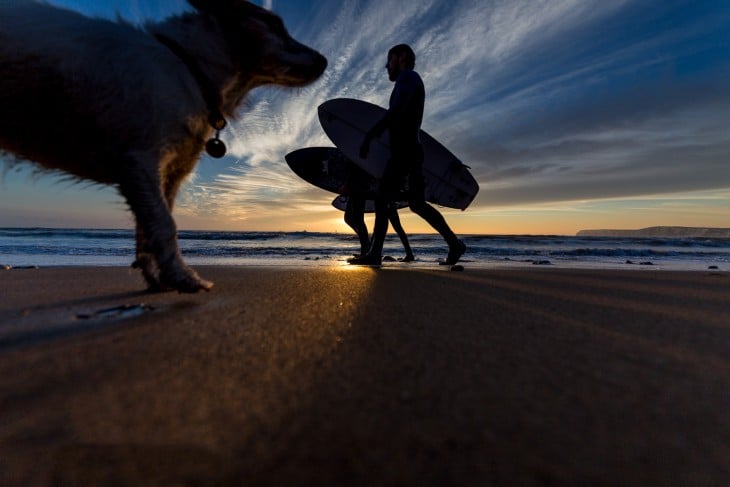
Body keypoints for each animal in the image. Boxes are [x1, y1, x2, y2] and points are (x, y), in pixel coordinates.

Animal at [0, 0, 326, 294]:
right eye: (274, 26)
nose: (324, 61)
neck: (189, 67)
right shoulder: (140, 161)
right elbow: (165, 225)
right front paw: (184, 278)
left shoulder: (168, 173)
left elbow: (148, 231)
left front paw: (161, 278)